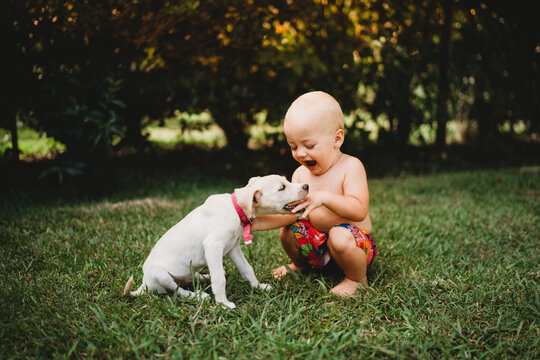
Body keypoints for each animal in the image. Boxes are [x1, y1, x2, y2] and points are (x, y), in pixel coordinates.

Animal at [123, 174, 308, 306]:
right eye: (282, 187)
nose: (306, 186)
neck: (236, 208)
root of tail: (144, 284)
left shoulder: (233, 247)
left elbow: (247, 269)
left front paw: (258, 287)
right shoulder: (213, 246)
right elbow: (219, 279)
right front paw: (223, 304)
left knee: (191, 278)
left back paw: (204, 277)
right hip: (159, 273)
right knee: (177, 290)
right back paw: (197, 296)